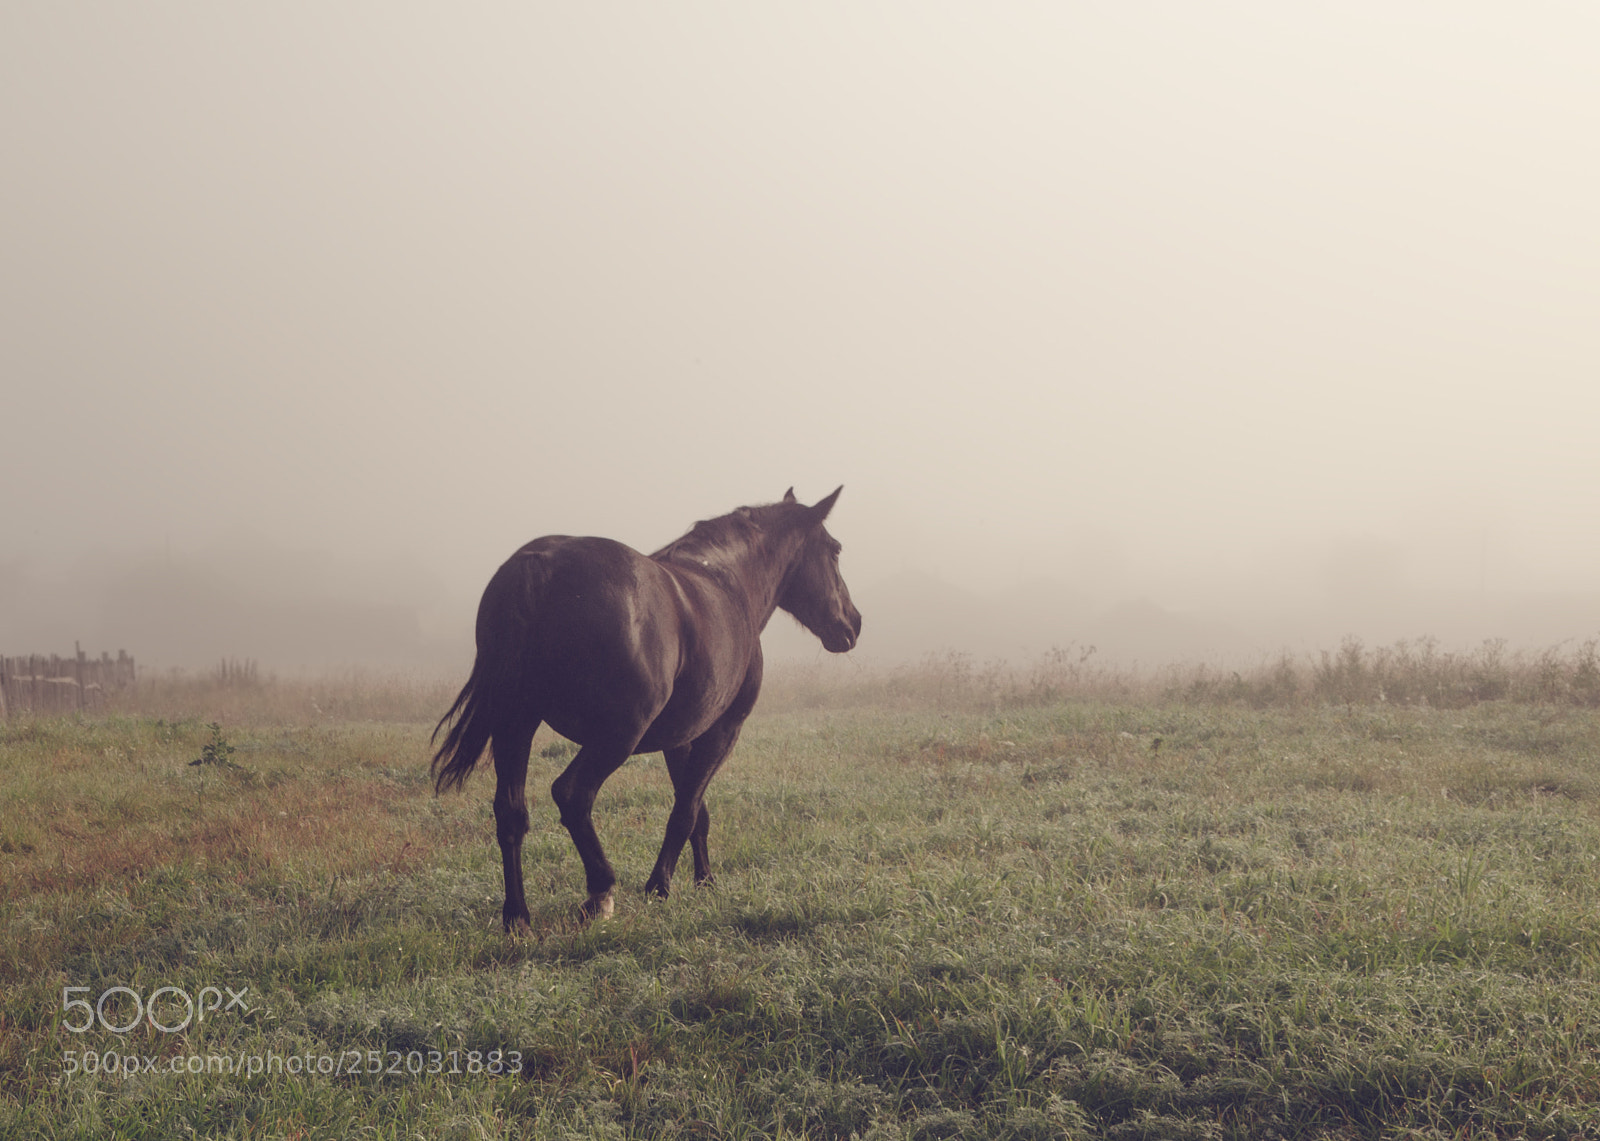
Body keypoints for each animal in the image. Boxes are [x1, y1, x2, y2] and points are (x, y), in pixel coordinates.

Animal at [430, 487, 862, 930]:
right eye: (834, 550)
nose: (853, 624)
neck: (727, 582)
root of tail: (539, 566)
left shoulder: (680, 738)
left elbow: (696, 811)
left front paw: (704, 880)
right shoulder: (723, 731)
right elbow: (685, 811)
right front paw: (661, 886)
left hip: (516, 722)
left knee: (511, 811)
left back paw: (518, 916)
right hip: (616, 736)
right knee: (572, 794)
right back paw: (600, 892)